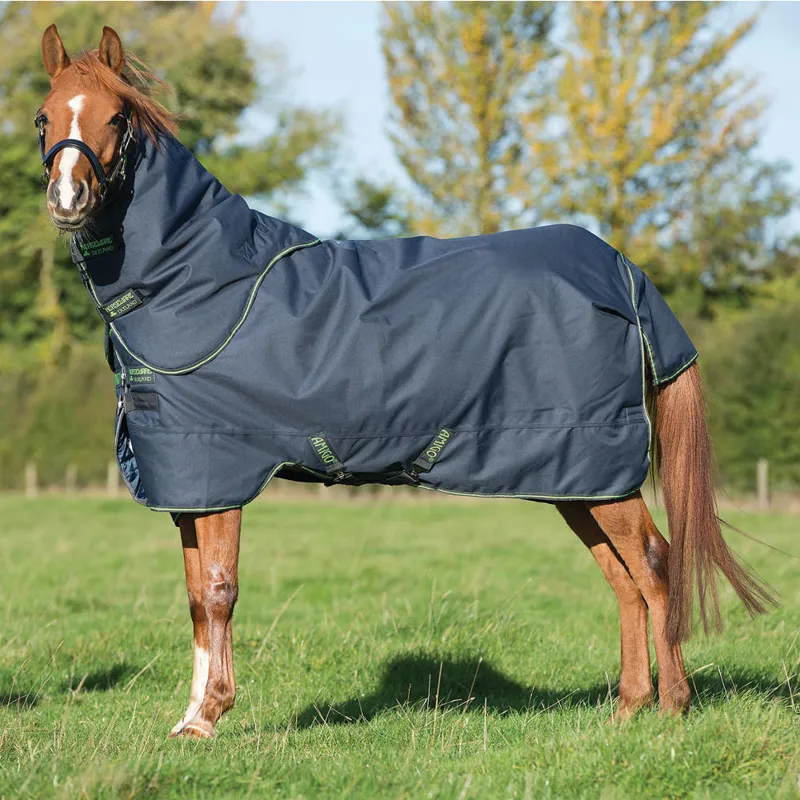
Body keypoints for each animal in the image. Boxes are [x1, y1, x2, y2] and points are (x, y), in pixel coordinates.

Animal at [36, 24, 773, 739]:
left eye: (117, 117)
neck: (200, 281)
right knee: (622, 579)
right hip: (576, 477)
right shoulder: (188, 482)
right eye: (45, 116)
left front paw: (209, 717)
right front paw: (190, 716)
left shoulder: (219, 469)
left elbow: (218, 591)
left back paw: (672, 707)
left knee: (653, 565)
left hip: (598, 466)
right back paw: (627, 709)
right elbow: (194, 598)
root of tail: (621, 270)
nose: (68, 199)